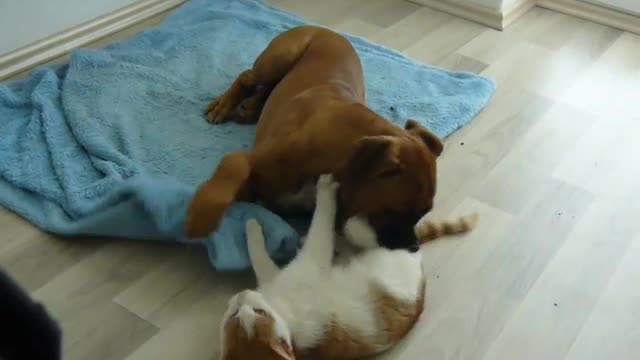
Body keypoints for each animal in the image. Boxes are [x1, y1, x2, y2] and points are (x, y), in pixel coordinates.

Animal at [188, 25, 442, 252]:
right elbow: (235, 166)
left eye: (424, 212)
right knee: (247, 77)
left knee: (266, 90)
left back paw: (249, 107)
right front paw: (203, 213)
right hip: (279, 59)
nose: (414, 246)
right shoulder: (247, 165)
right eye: (399, 211)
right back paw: (224, 105)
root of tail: (326, 30)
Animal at [218, 174, 428, 358]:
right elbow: (316, 227)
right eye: (258, 312)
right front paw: (252, 226)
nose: (242, 295)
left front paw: (250, 227)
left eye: (233, 315)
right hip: (392, 252)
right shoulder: (306, 263)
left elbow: (259, 260)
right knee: (367, 235)